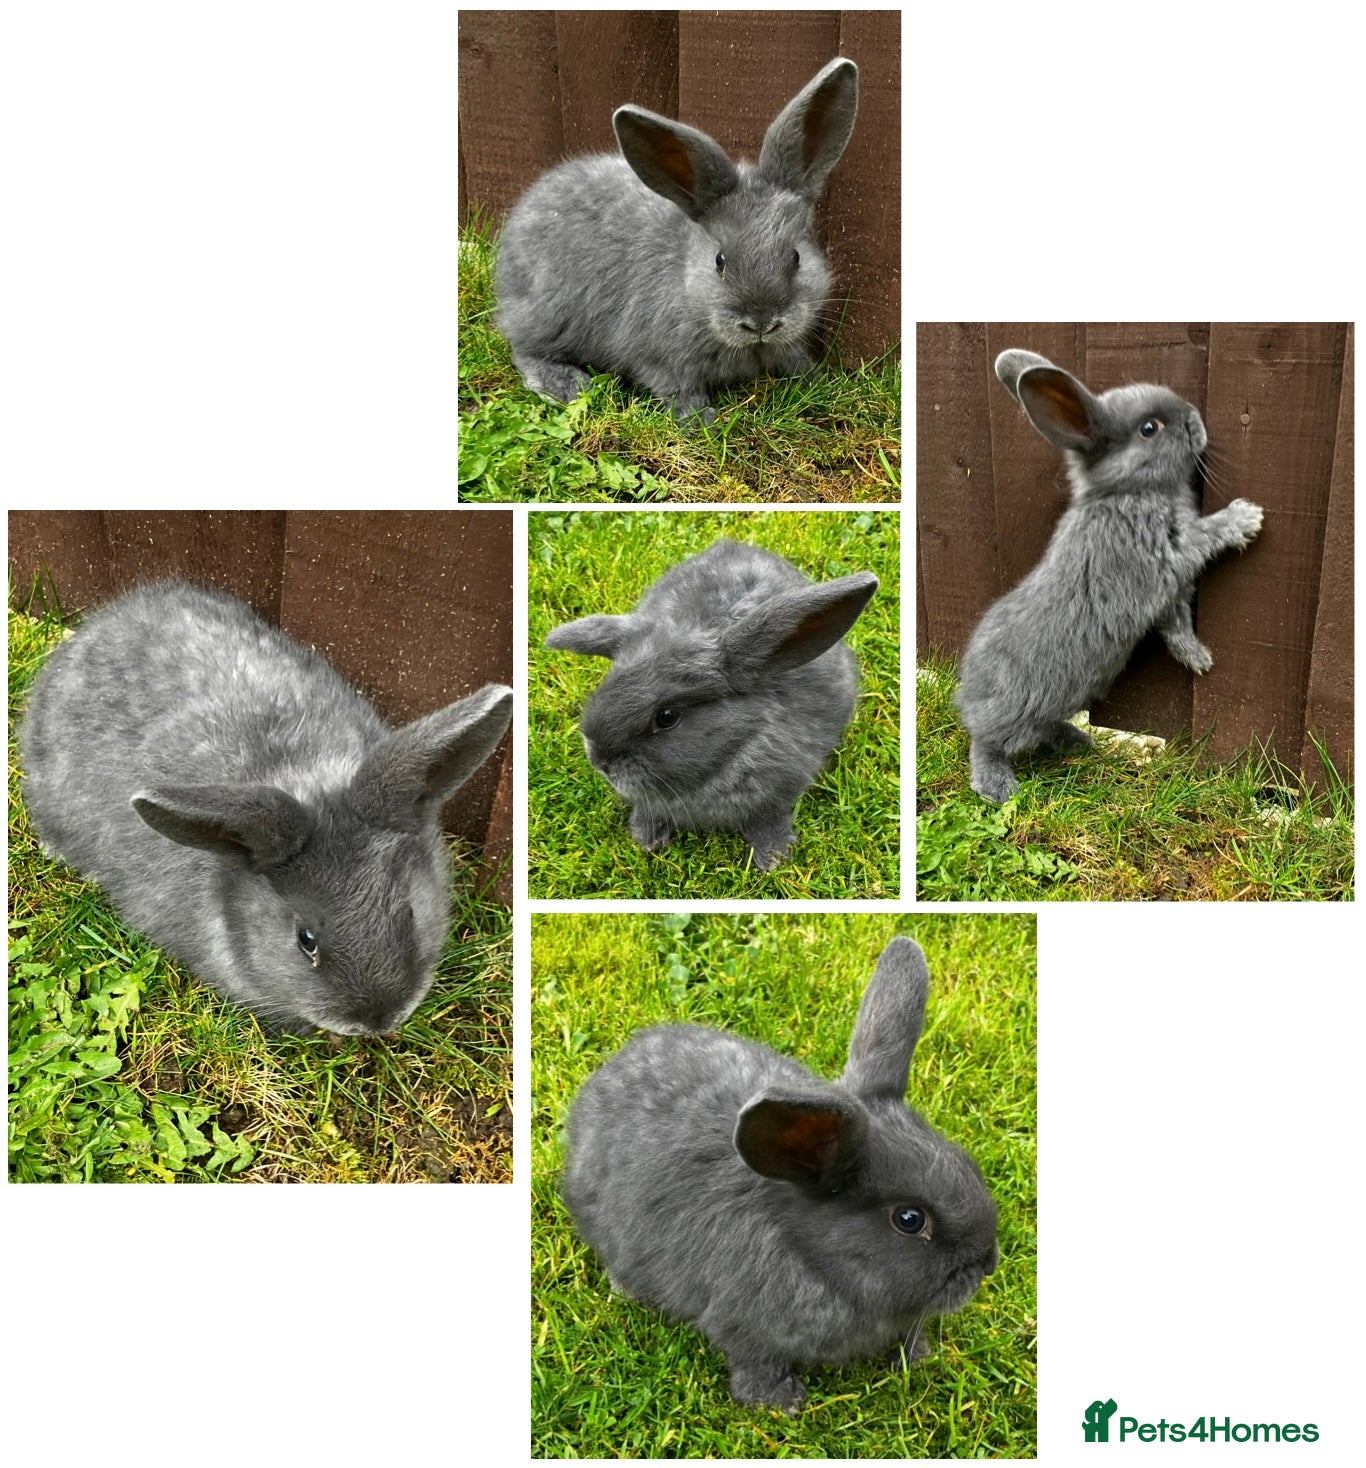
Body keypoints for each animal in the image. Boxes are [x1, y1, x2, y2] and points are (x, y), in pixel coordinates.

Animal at [494, 57, 859, 424]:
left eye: (796, 257)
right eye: (719, 262)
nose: (761, 322)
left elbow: (794, 359)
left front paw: (817, 380)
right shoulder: (658, 358)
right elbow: (677, 388)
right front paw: (702, 421)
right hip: (548, 316)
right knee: (522, 348)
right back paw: (565, 384)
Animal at [544, 537, 877, 869]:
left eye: (667, 716)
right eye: (608, 682)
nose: (600, 762)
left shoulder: (777, 795)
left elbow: (768, 819)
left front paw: (773, 858)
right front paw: (646, 839)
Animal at [562, 936, 1000, 1413]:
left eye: (965, 1161)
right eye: (909, 1219)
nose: (985, 1266)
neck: (809, 1254)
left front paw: (916, 1354)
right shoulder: (747, 1330)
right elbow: (755, 1362)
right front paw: (779, 1403)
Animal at [955, 349, 1265, 803]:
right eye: (1150, 428)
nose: (1194, 418)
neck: (1127, 491)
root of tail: (969, 695)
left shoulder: (1169, 595)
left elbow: (1176, 628)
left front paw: (1198, 659)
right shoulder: (1171, 552)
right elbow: (1206, 536)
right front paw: (1245, 517)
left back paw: (1078, 742)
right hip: (1016, 710)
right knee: (987, 742)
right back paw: (999, 786)